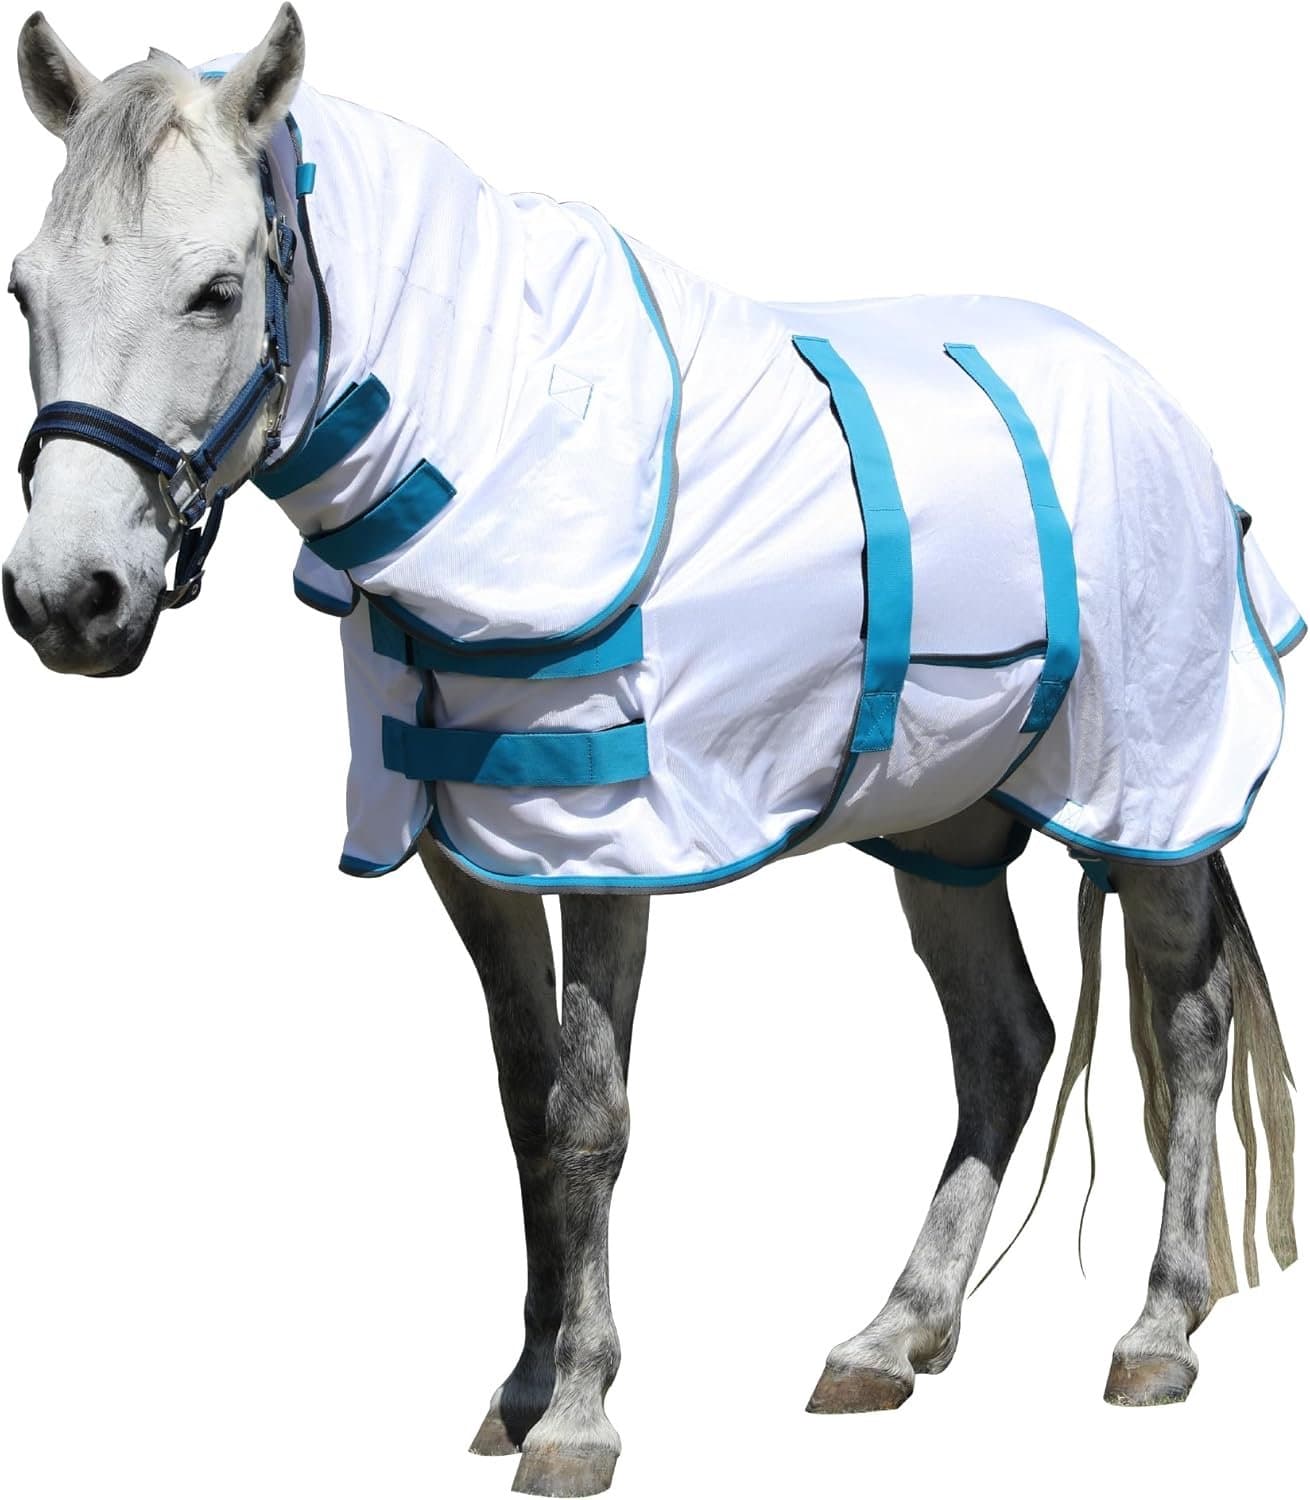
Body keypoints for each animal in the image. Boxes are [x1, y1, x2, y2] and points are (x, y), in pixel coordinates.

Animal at [5, 8, 1299, 1497]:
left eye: (216, 292)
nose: (67, 599)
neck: (498, 424)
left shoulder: (607, 841)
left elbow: (589, 1117)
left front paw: (577, 1415)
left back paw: (1155, 1332)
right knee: (1002, 1040)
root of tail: (1151, 402)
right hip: (943, 824)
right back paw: (892, 1335)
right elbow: (523, 1102)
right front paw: (519, 1385)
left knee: (1185, 1025)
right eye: (24, 293)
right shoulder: (471, 853)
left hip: (1154, 793)